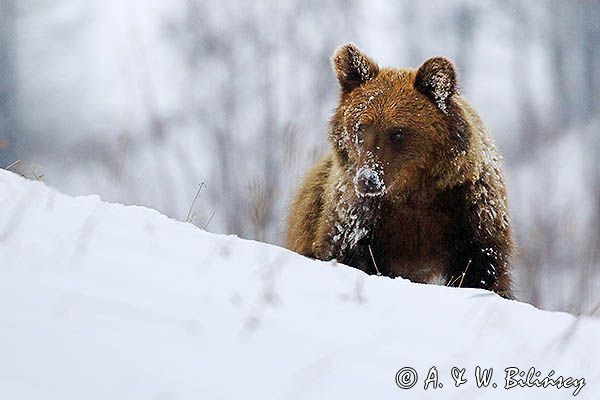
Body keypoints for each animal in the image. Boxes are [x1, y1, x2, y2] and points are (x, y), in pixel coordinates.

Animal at [288, 44, 512, 300]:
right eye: (362, 127)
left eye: (397, 132)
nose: (368, 179)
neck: (412, 193)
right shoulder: (357, 219)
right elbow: (346, 253)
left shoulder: (469, 210)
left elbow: (482, 269)